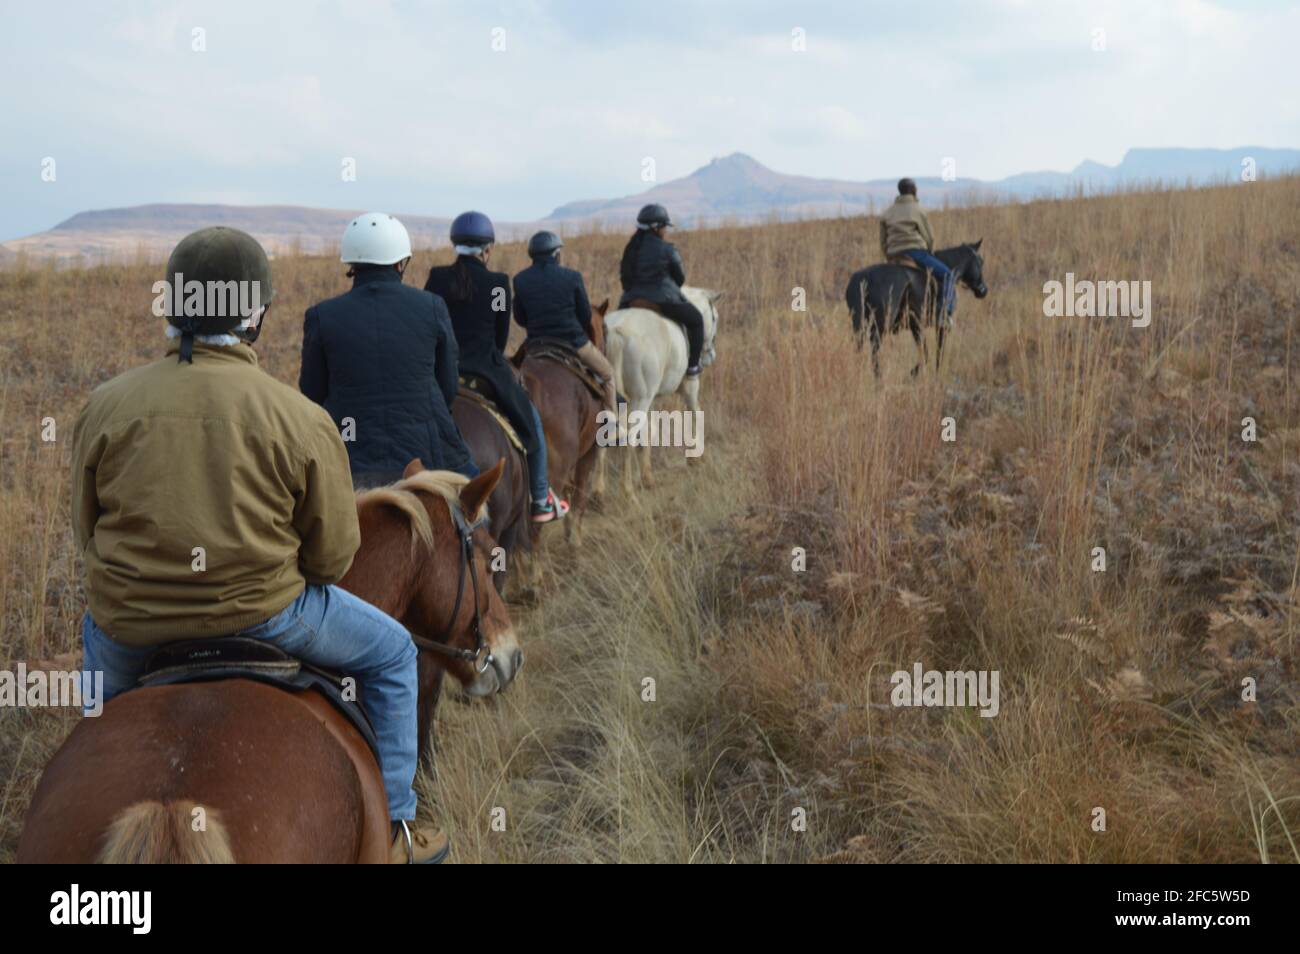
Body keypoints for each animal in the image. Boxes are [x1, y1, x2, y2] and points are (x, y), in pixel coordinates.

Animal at [598, 283, 722, 493]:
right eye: (714, 318)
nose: (710, 356)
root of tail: (616, 333)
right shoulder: (689, 386)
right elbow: (695, 413)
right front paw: (696, 458)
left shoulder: (652, 398)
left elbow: (649, 431)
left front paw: (646, 477)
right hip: (639, 400)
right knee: (628, 437)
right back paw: (627, 490)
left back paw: (597, 491)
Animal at [842, 240, 982, 379]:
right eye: (981, 262)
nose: (983, 290)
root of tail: (863, 278)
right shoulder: (939, 326)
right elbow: (936, 353)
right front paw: (924, 374)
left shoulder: (916, 326)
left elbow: (925, 353)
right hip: (879, 326)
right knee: (874, 350)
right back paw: (878, 378)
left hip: (861, 324)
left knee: (860, 347)